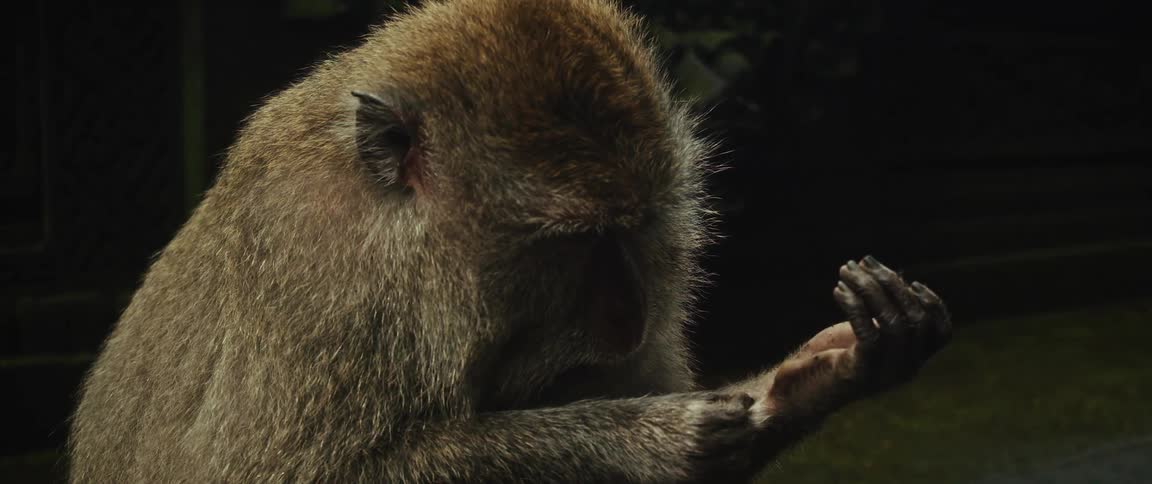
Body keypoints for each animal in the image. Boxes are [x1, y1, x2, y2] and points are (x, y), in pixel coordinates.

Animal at [67, 0, 952, 482]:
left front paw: (824, 373)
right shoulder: (316, 270)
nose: (628, 319)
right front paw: (639, 438)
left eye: (635, 229)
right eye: (570, 241)